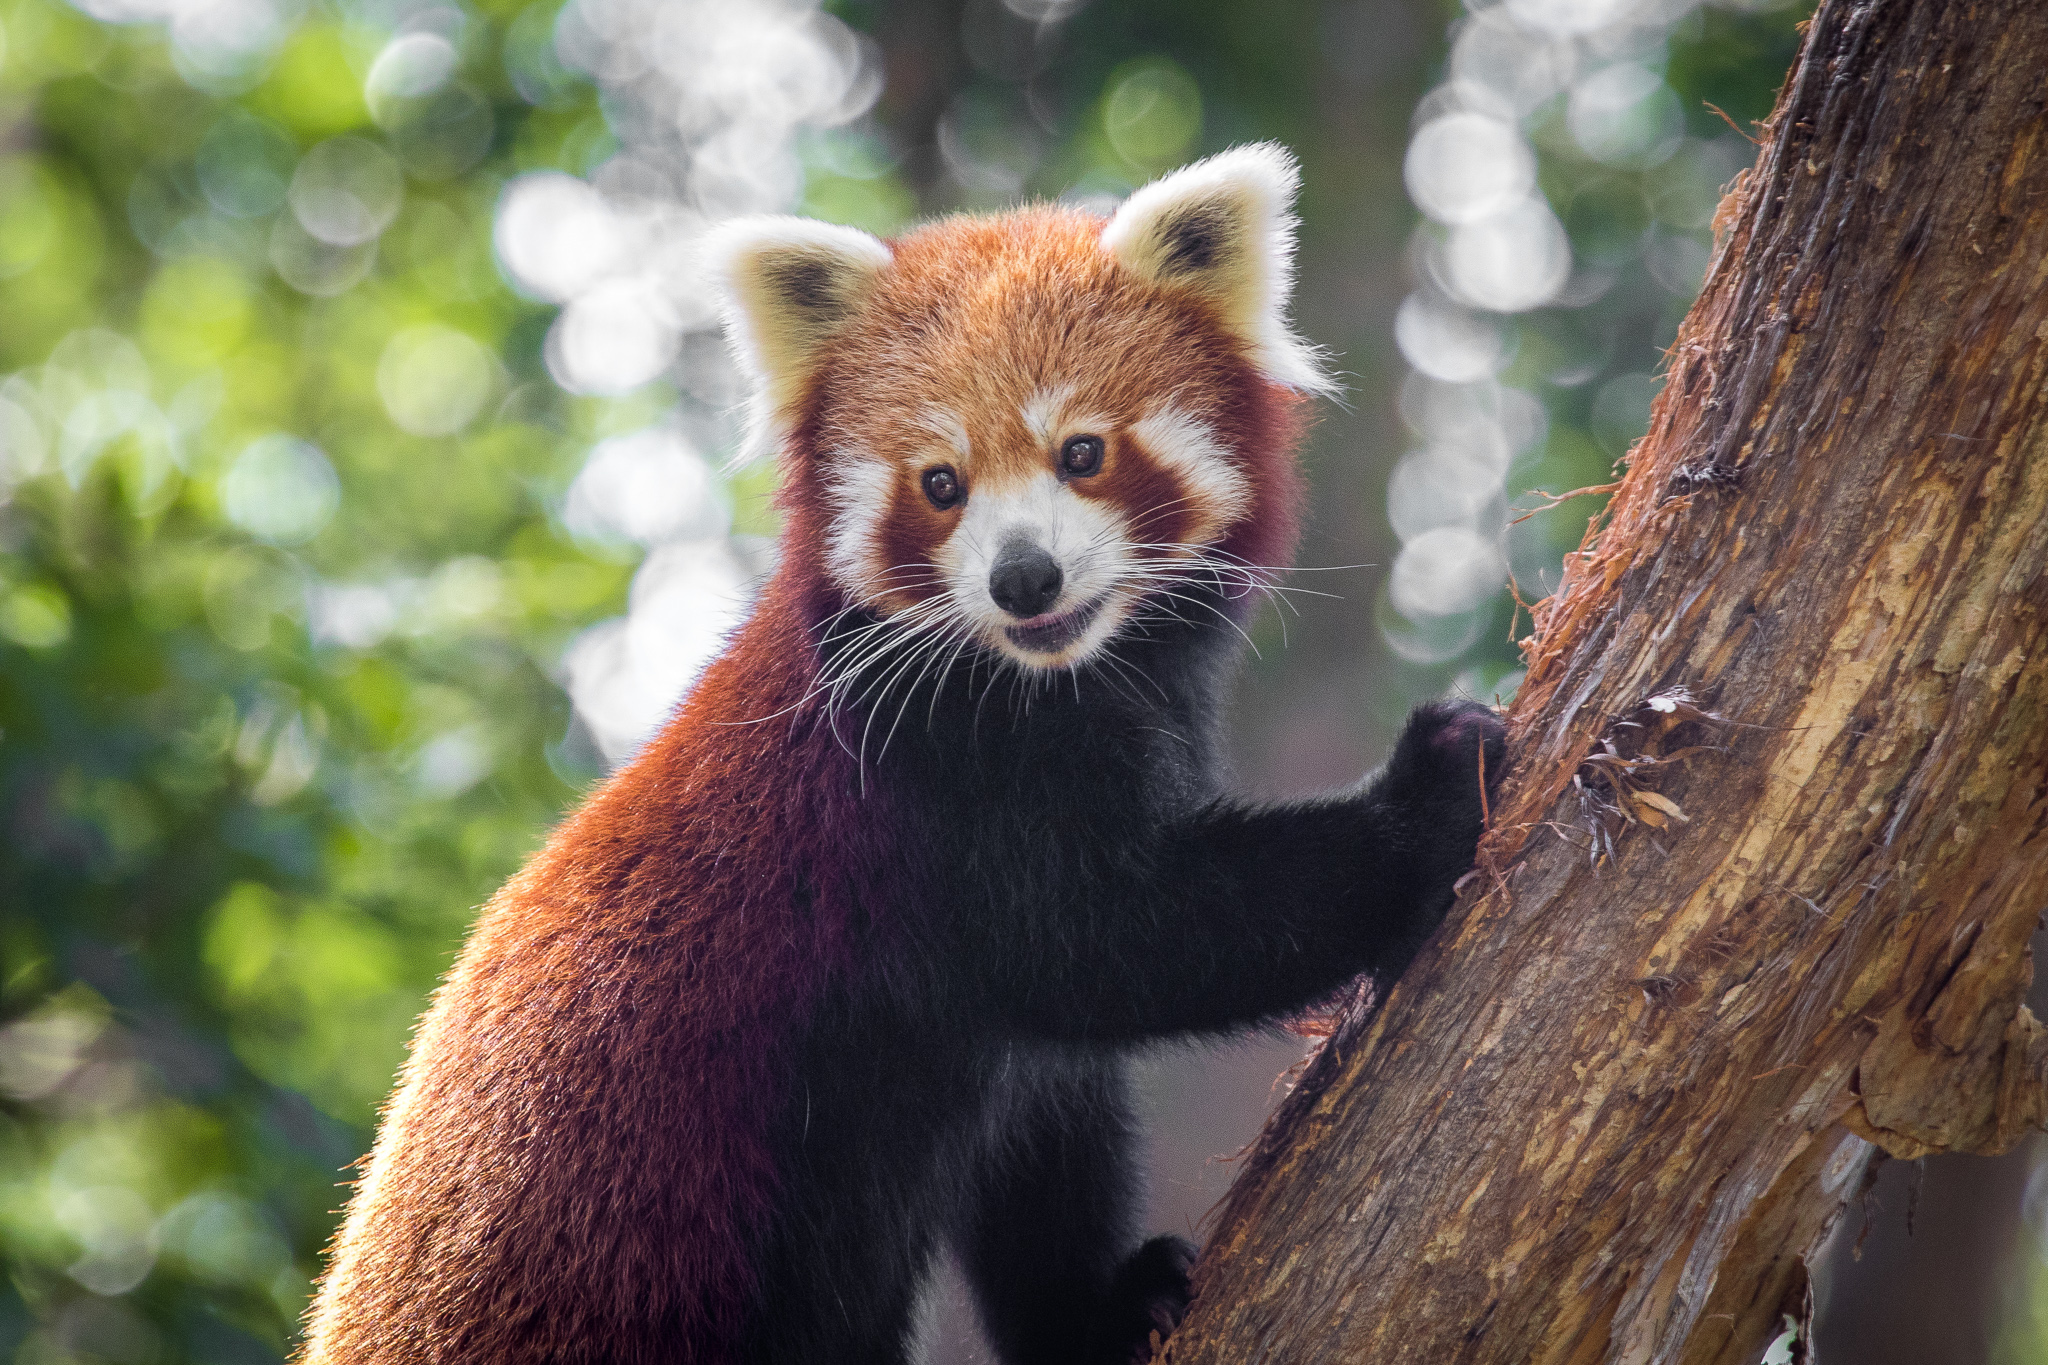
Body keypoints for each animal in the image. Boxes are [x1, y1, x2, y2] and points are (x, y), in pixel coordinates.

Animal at [299, 147, 1490, 1365]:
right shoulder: (919, 793)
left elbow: (1044, 1128)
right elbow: (1107, 940)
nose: (1023, 579)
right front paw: (1429, 796)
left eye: (1082, 453)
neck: (1044, 684)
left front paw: (1100, 1310)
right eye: (940, 483)